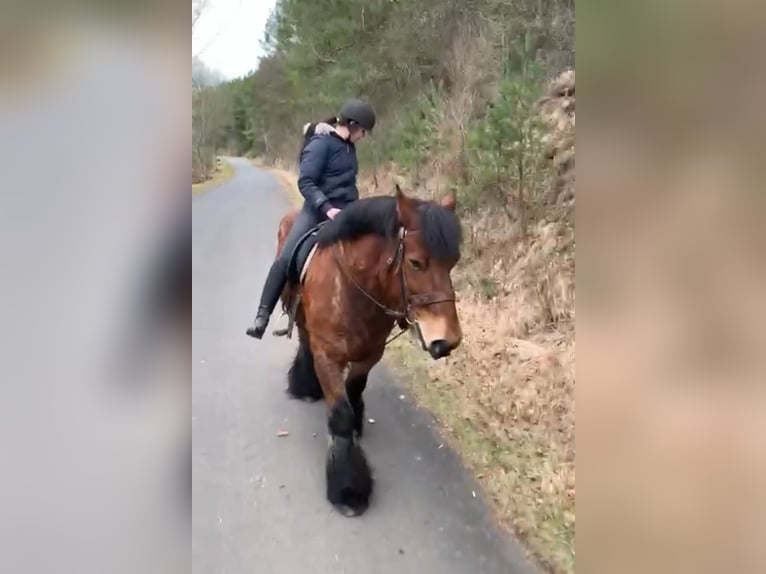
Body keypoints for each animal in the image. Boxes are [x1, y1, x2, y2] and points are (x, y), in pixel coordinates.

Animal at [272, 186, 462, 516]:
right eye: (415, 263)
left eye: (453, 262)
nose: (447, 341)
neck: (353, 287)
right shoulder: (329, 357)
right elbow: (341, 415)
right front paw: (348, 489)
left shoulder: (371, 353)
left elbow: (354, 391)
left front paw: (357, 426)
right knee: (305, 343)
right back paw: (305, 386)